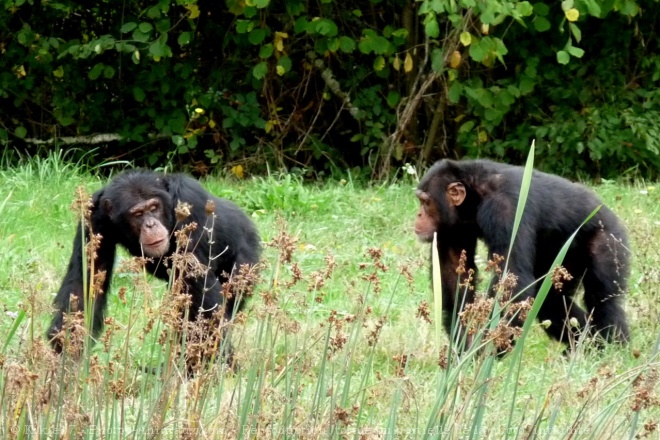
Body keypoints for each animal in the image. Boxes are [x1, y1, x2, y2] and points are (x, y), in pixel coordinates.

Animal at [47, 169, 260, 360]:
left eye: (153, 208)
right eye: (138, 213)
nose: (150, 224)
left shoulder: (190, 201)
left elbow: (198, 288)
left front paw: (210, 357)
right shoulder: (93, 217)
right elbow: (86, 280)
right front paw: (65, 349)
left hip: (245, 261)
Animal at [416, 158, 632, 348]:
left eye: (426, 202)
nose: (418, 214)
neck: (474, 196)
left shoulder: (506, 210)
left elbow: (512, 282)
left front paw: (487, 349)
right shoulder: (450, 228)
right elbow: (454, 275)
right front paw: (466, 347)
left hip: (609, 239)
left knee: (603, 301)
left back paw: (613, 348)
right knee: (551, 300)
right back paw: (587, 346)